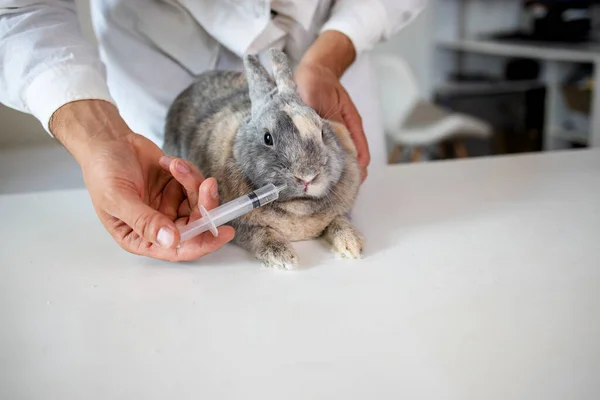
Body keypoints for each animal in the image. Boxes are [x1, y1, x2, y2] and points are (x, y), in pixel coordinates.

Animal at [162, 48, 364, 270]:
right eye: (268, 138)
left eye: (322, 132)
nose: (307, 177)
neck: (297, 206)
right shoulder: (242, 227)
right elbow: (262, 235)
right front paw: (286, 259)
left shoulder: (339, 213)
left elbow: (339, 223)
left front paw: (352, 246)